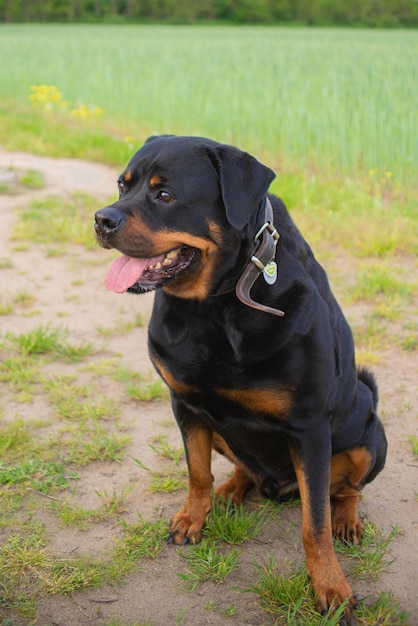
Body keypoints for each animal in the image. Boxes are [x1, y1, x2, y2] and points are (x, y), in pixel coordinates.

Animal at [94, 133, 386, 620]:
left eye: (165, 195)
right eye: (122, 185)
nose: (101, 219)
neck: (214, 304)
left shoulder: (309, 426)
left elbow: (315, 524)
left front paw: (330, 586)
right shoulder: (186, 405)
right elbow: (197, 473)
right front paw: (193, 518)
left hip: (369, 429)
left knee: (346, 491)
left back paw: (347, 520)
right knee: (241, 466)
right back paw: (233, 490)